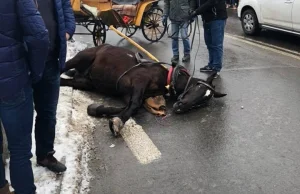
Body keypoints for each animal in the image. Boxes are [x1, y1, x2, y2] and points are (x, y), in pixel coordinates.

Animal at [59, 44, 226, 136]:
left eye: (202, 103)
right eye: (198, 86)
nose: (180, 107)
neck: (166, 79)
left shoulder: (128, 94)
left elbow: (133, 107)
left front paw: (96, 108)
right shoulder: (139, 82)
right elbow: (135, 105)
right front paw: (118, 122)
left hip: (85, 82)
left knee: (64, 81)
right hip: (79, 59)